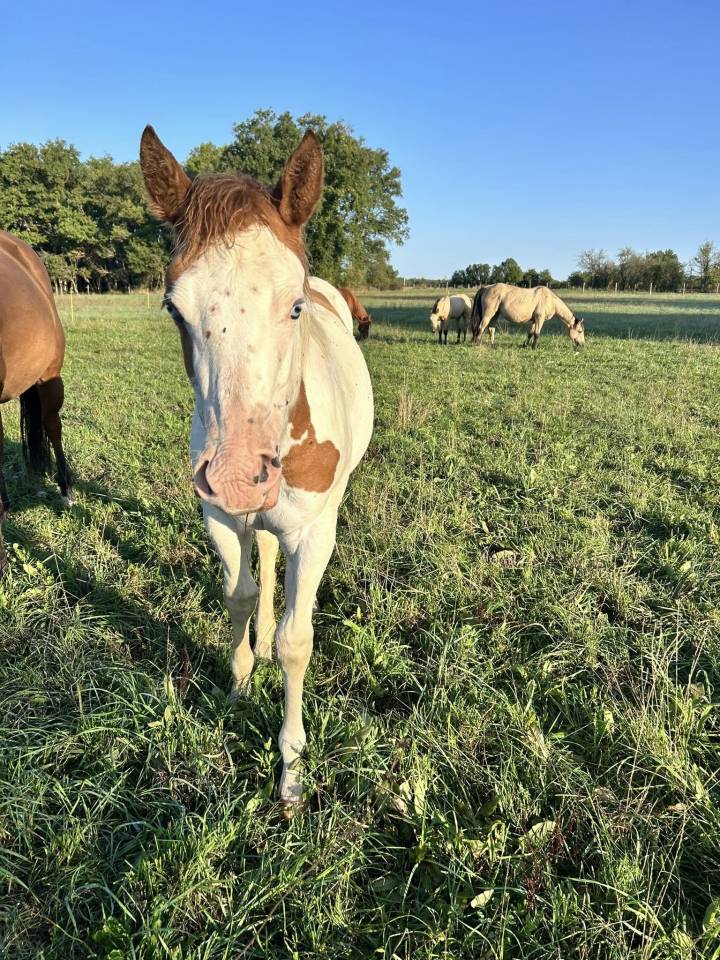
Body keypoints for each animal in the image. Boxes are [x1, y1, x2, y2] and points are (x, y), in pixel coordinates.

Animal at [140, 125, 374, 808]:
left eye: (294, 307)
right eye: (173, 308)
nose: (240, 473)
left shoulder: (314, 534)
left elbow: (299, 640)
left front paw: (292, 767)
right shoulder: (220, 517)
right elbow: (239, 594)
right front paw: (240, 685)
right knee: (264, 559)